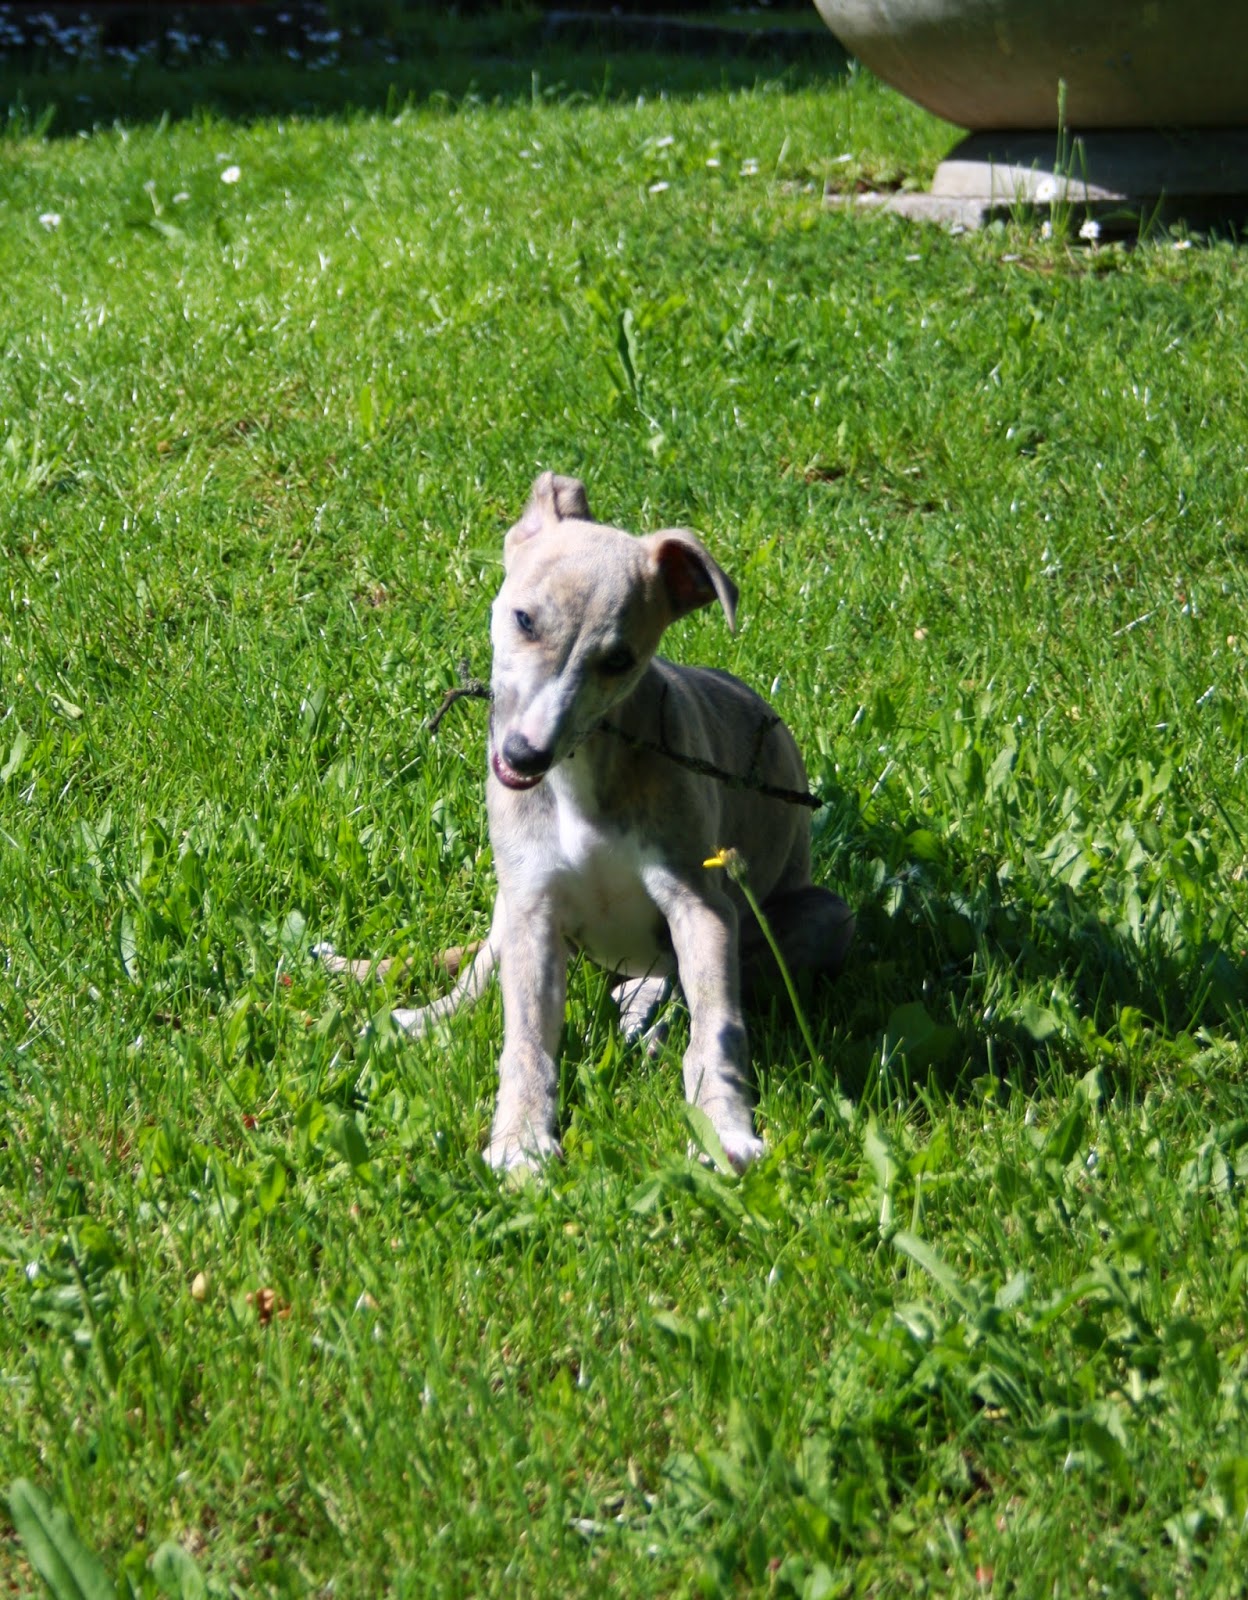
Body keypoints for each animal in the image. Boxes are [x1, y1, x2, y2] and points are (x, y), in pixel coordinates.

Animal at [324, 473, 853, 1170]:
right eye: (524, 619)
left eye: (619, 659)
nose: (525, 755)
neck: (583, 774)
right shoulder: (533, 903)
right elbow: (524, 1035)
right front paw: (521, 1140)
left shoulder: (701, 903)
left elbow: (717, 1026)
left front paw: (723, 1125)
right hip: (509, 904)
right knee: (475, 973)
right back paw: (417, 1014)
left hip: (815, 916)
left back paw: (644, 1012)